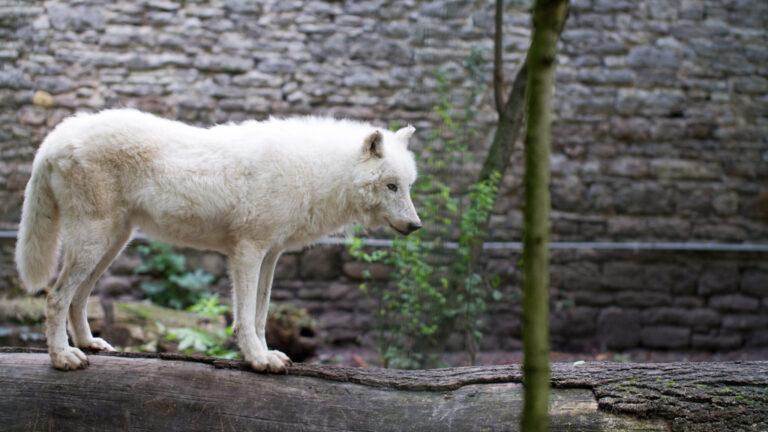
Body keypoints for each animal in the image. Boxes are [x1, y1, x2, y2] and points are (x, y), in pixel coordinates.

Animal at [15, 109, 421, 372]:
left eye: (408, 186)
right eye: (391, 186)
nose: (416, 225)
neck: (315, 171)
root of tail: (54, 137)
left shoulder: (270, 256)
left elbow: (261, 316)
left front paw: (267, 354)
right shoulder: (248, 252)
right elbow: (244, 318)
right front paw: (257, 360)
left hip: (112, 244)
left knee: (78, 297)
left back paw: (88, 344)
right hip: (94, 243)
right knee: (55, 297)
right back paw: (63, 358)